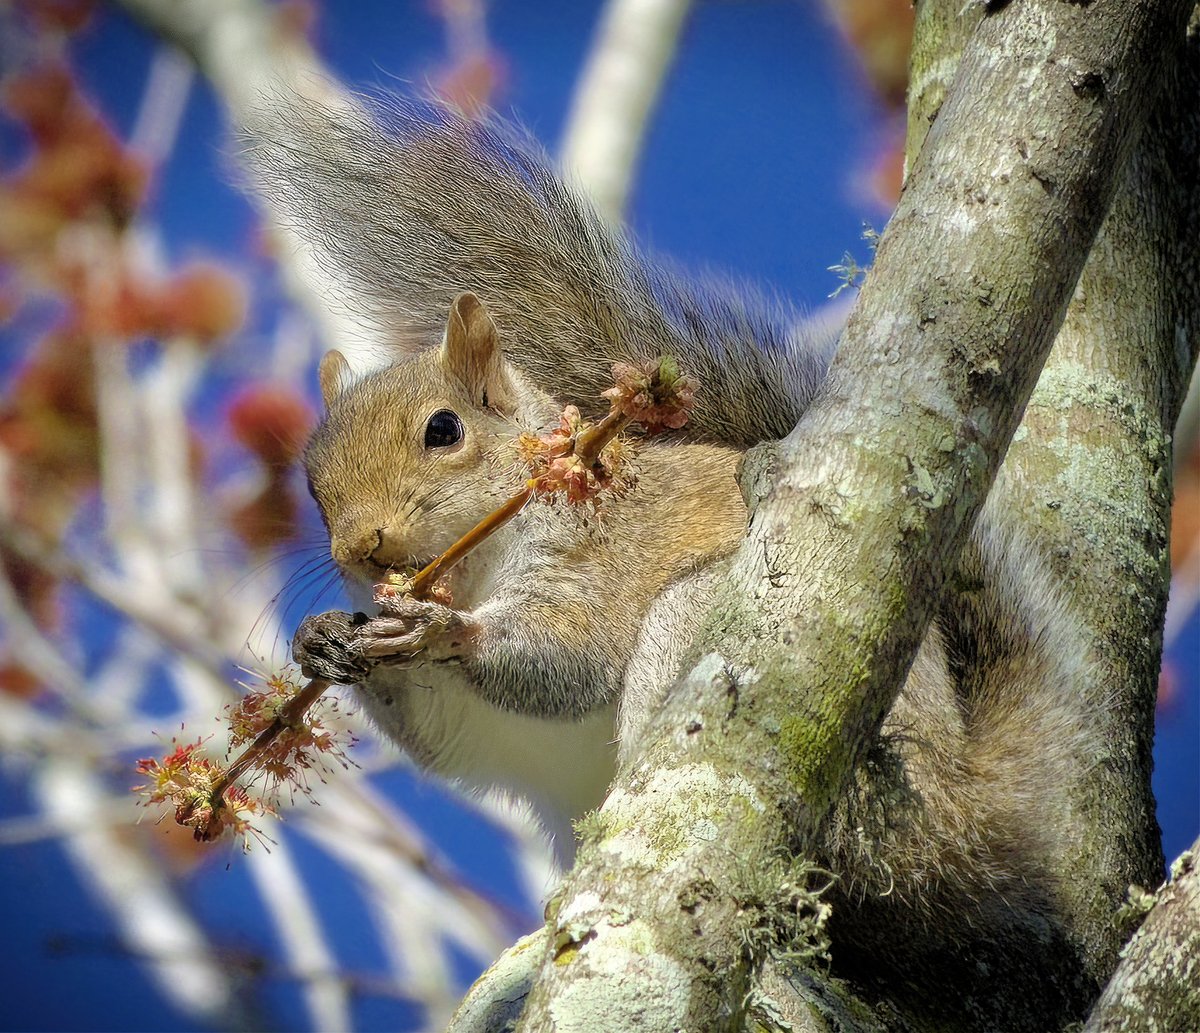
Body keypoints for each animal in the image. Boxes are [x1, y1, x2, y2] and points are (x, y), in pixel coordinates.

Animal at [248, 94, 1099, 1022]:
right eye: (312, 478)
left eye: (444, 430)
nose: (360, 548)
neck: (477, 566)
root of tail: (974, 824)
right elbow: (445, 731)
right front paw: (324, 638)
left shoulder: (601, 559)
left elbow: (570, 656)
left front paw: (447, 632)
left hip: (770, 693)